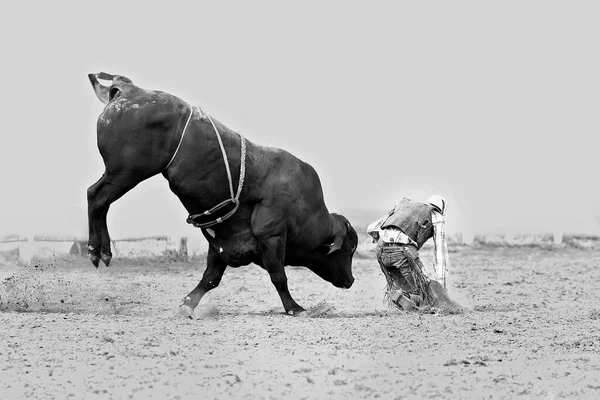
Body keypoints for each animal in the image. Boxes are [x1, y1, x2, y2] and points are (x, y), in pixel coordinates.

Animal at [84, 72, 356, 316]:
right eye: (349, 248)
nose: (352, 280)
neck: (304, 207)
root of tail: (127, 90)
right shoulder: (272, 236)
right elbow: (278, 276)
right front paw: (295, 308)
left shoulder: (222, 241)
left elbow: (210, 278)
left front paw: (188, 304)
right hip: (126, 172)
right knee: (96, 197)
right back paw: (98, 249)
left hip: (123, 173)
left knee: (98, 200)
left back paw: (102, 250)